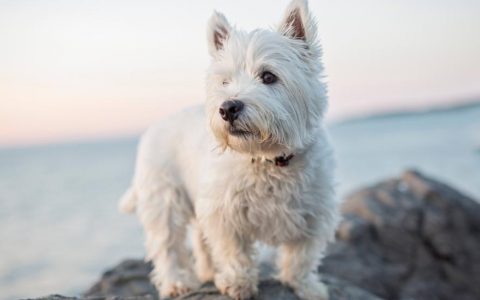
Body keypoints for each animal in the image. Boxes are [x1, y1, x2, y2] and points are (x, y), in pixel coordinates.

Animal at [119, 1, 338, 298]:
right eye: (224, 82)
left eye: (268, 76)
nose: (227, 108)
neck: (267, 159)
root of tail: (154, 127)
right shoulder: (224, 213)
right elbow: (234, 251)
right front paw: (238, 283)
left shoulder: (314, 213)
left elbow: (301, 256)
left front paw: (305, 286)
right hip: (164, 199)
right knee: (168, 245)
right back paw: (177, 283)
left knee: (198, 241)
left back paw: (208, 273)